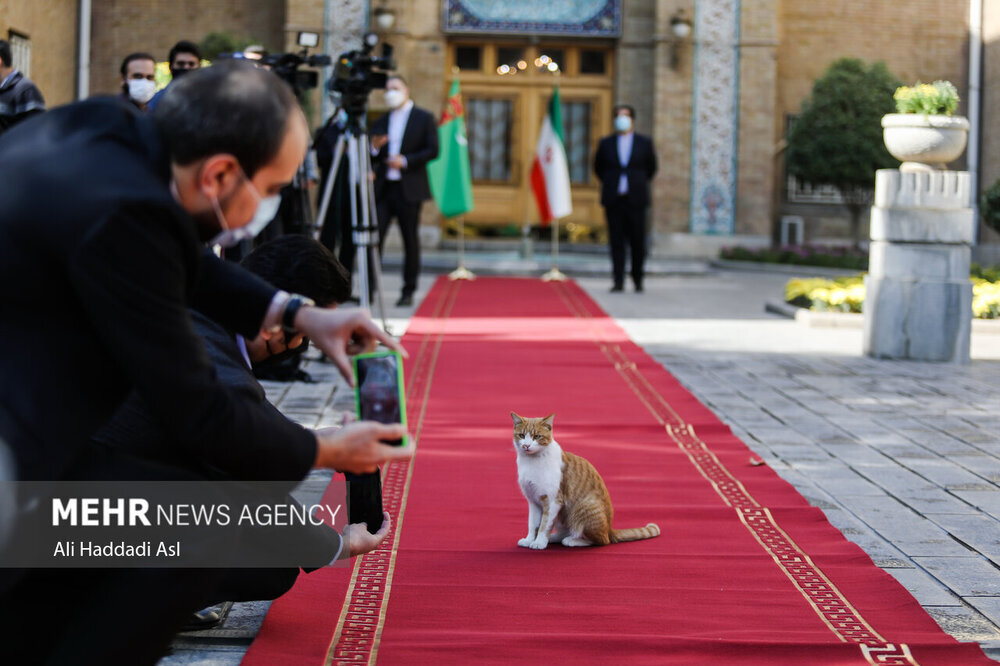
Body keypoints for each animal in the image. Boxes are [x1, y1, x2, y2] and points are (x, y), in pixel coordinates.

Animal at [512, 412, 660, 548]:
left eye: (537, 436)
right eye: (521, 435)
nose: (526, 445)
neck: (531, 462)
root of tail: (610, 529)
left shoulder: (553, 500)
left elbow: (544, 525)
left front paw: (540, 542)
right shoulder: (533, 501)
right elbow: (533, 524)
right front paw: (530, 540)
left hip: (583, 508)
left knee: (600, 540)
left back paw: (572, 540)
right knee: (567, 530)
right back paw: (555, 537)